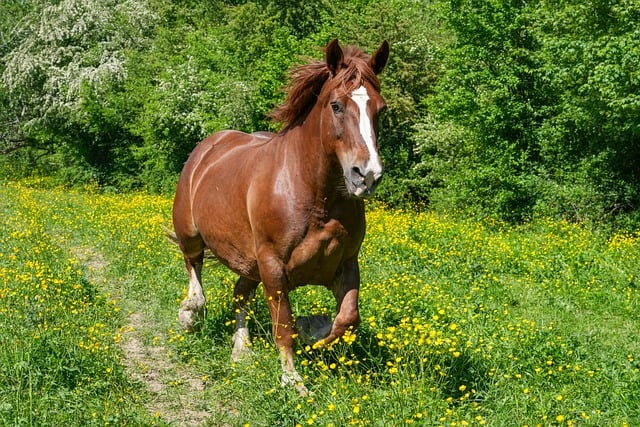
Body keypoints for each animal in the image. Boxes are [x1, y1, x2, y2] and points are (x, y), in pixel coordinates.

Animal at [170, 39, 389, 394]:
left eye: (380, 109)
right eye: (336, 106)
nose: (366, 175)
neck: (314, 197)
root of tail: (209, 145)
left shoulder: (345, 265)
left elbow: (347, 319)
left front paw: (313, 327)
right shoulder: (273, 268)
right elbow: (283, 325)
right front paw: (293, 379)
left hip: (250, 262)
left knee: (239, 294)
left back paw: (241, 350)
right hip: (192, 233)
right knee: (195, 269)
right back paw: (191, 314)